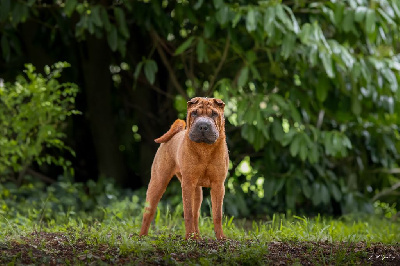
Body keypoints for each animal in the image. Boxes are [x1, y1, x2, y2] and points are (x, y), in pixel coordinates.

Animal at [140, 97, 228, 239]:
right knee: (148, 213)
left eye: (214, 113)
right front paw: (188, 238)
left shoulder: (218, 185)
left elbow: (217, 215)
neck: (204, 150)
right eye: (194, 113)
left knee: (196, 213)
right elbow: (188, 213)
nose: (203, 126)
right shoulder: (187, 184)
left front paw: (221, 238)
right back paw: (142, 237)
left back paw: (197, 237)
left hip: (197, 192)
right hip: (158, 182)